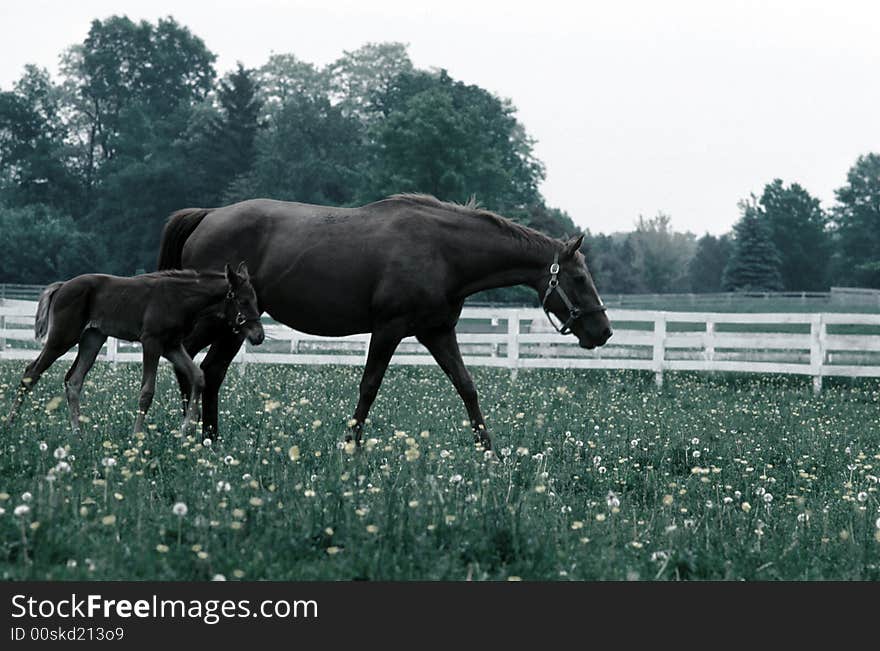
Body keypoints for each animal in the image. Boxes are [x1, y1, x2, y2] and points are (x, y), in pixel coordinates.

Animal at [5, 262, 264, 436]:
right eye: (242, 300)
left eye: (255, 299)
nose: (259, 335)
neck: (180, 298)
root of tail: (62, 286)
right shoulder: (152, 342)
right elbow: (147, 391)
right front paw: (137, 435)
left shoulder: (171, 346)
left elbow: (198, 377)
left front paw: (185, 430)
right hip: (63, 337)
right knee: (32, 371)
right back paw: (10, 422)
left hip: (92, 339)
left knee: (74, 380)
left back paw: (78, 432)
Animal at [158, 194, 612, 448]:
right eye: (578, 278)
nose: (603, 331)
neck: (443, 252)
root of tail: (207, 215)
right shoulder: (390, 329)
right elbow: (369, 387)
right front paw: (350, 447)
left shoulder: (437, 332)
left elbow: (467, 387)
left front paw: (491, 453)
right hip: (219, 323)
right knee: (187, 363)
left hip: (234, 327)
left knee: (209, 371)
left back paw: (210, 441)